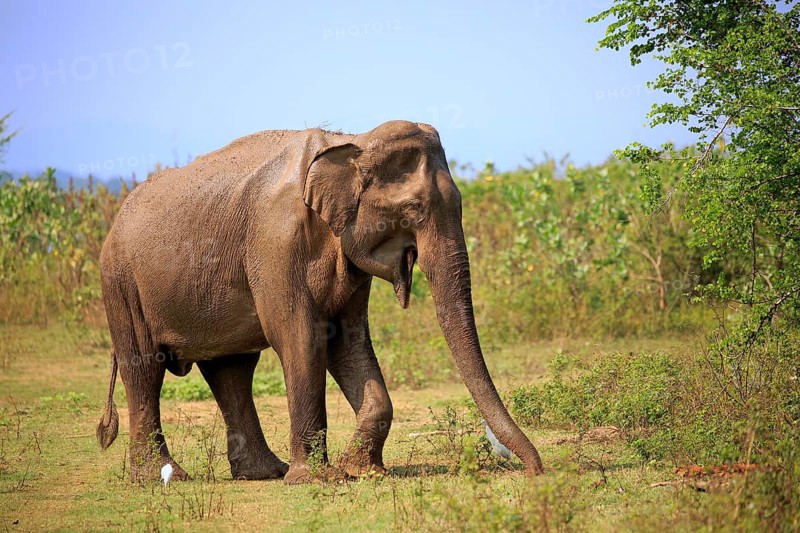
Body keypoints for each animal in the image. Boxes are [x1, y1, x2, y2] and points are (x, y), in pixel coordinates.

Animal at [95, 120, 543, 484]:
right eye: (414, 208)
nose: (536, 471)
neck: (352, 141)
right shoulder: (276, 243)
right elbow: (301, 337)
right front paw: (316, 478)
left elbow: (348, 339)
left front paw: (359, 470)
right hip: (120, 284)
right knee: (145, 368)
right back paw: (164, 477)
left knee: (231, 370)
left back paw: (264, 473)